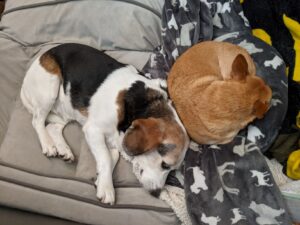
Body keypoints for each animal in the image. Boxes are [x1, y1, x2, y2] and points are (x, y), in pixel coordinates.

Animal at [21, 43, 189, 205]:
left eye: (171, 170)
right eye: (165, 165)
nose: (157, 193)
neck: (143, 103)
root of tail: (42, 56)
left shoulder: (113, 140)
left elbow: (111, 155)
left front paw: (101, 179)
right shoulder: (93, 130)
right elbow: (106, 158)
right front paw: (107, 188)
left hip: (67, 109)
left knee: (52, 127)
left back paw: (64, 149)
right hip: (50, 89)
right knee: (37, 121)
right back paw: (48, 144)